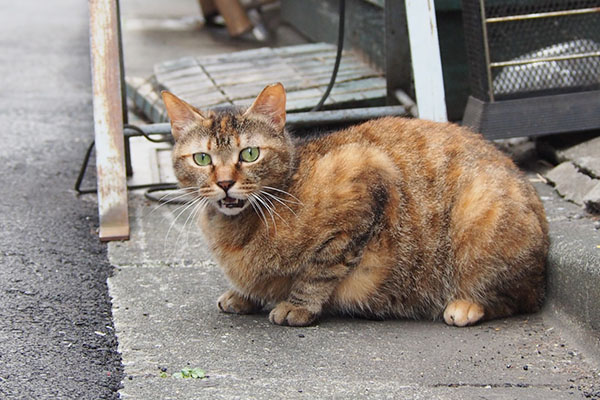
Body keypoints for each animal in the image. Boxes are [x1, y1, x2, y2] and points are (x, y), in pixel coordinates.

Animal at [162, 83, 552, 326]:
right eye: (201, 159)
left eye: (250, 154)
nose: (225, 182)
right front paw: (244, 295)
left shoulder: (366, 179)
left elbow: (318, 270)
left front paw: (296, 305)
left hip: (480, 217)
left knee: (519, 297)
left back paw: (466, 305)